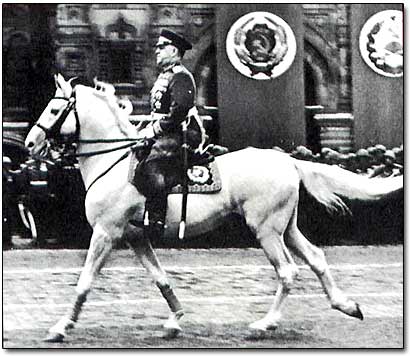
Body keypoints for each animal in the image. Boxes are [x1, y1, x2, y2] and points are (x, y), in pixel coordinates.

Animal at [25, 74, 404, 342]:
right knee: (316, 258)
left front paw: (60, 327)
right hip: (287, 226)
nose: (30, 143)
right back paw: (346, 305)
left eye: (55, 110)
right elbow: (160, 278)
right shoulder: (135, 237)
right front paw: (175, 320)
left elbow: (85, 282)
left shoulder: (106, 233)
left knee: (288, 272)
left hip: (266, 229)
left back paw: (264, 324)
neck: (112, 163)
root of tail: (288, 161)